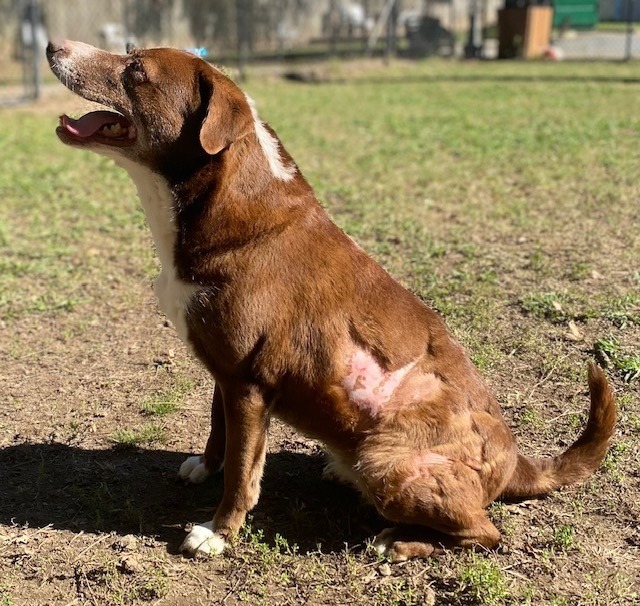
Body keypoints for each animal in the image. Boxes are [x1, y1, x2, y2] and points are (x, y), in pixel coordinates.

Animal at [45, 40, 616, 564]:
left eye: (136, 70)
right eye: (127, 51)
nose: (53, 45)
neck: (223, 203)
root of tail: (515, 462)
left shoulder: (249, 384)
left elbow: (242, 471)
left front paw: (218, 533)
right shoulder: (226, 371)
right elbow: (218, 427)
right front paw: (205, 466)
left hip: (388, 460)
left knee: (486, 533)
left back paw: (397, 540)